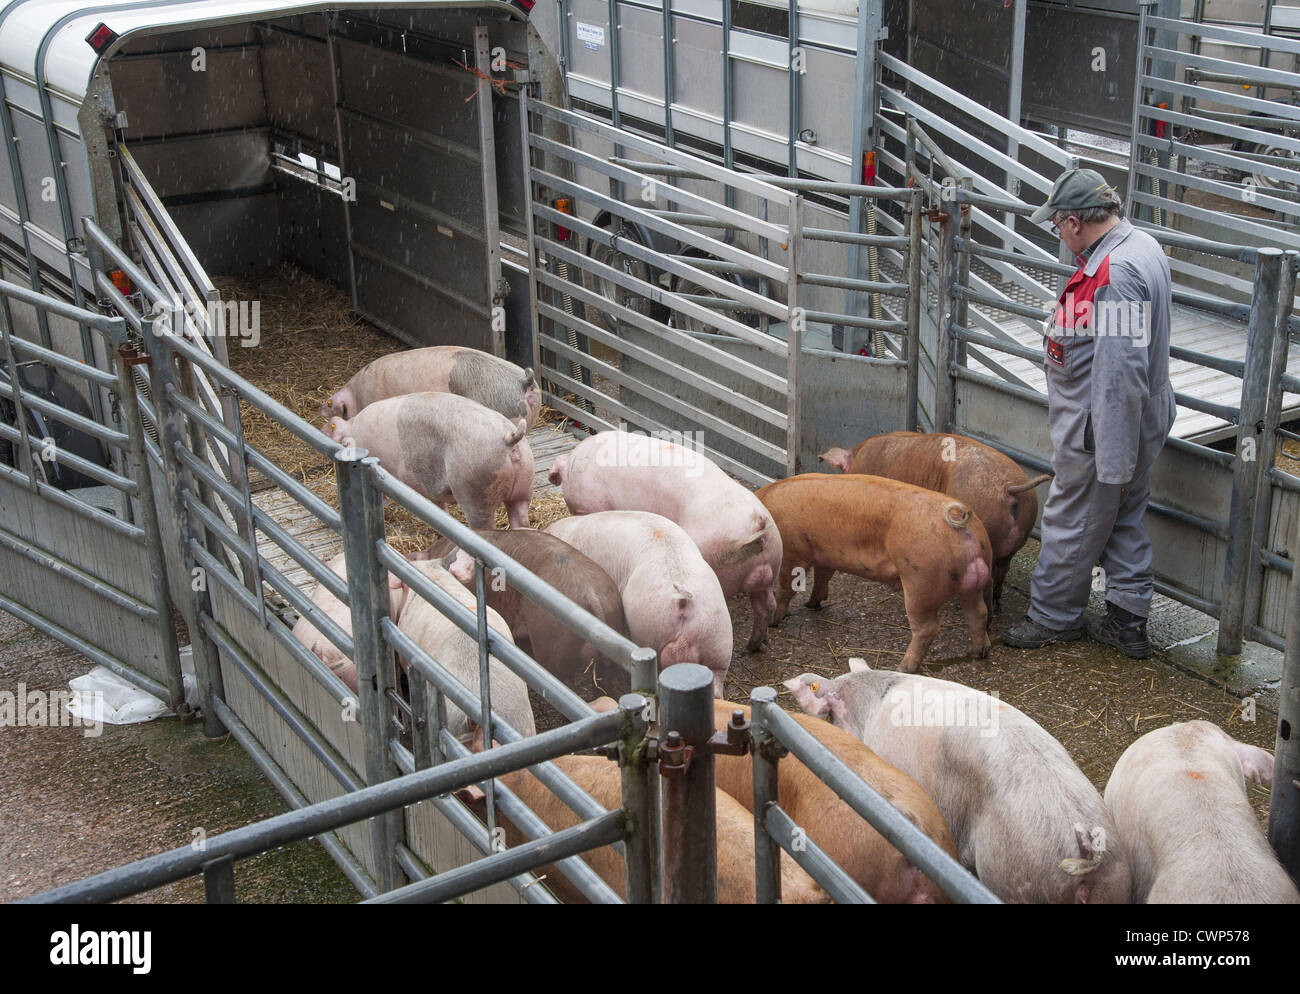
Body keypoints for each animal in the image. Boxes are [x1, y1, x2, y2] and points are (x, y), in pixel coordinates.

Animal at [759, 470, 987, 670]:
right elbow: (823, 577)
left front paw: (774, 622)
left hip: (920, 580)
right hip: (972, 585)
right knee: (978, 612)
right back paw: (979, 652)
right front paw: (811, 604)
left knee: (927, 629)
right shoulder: (824, 554)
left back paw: (903, 668)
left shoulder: (794, 551)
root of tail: (960, 521)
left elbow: (786, 589)